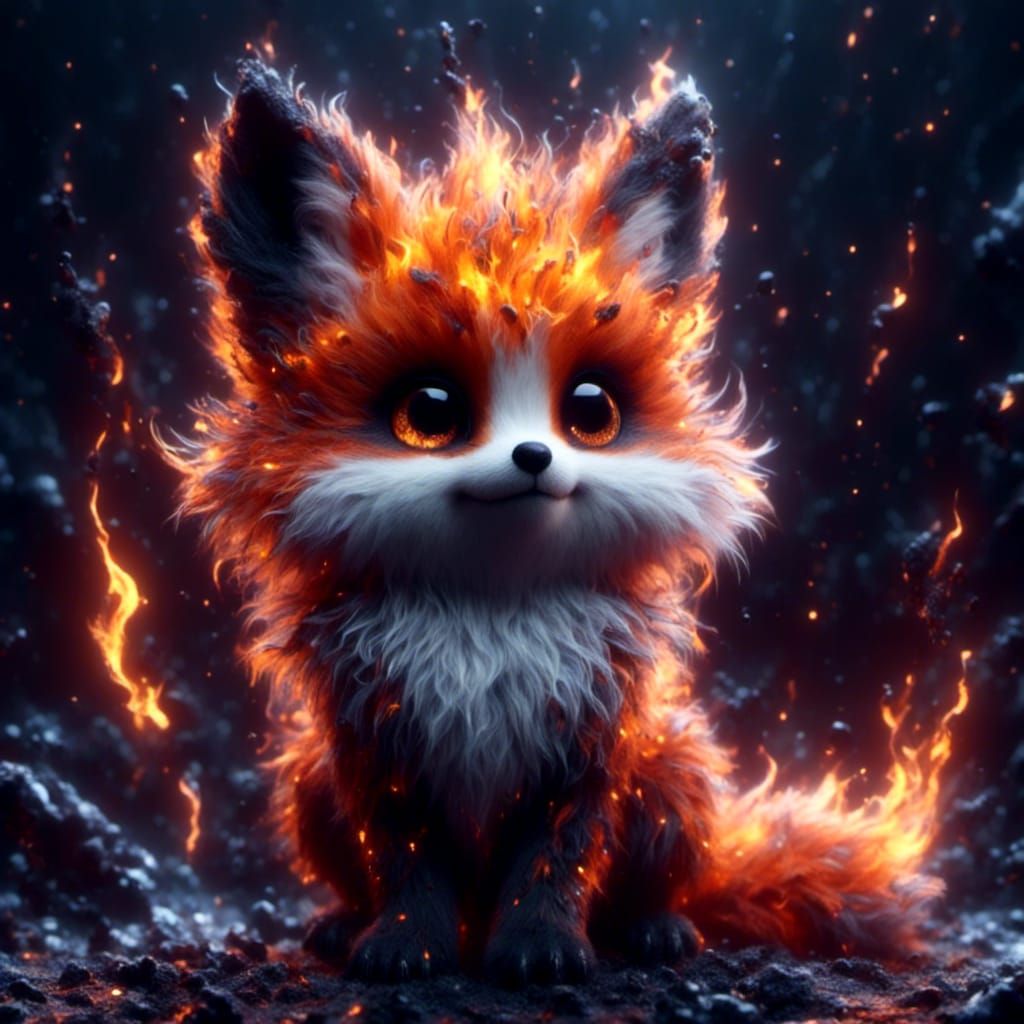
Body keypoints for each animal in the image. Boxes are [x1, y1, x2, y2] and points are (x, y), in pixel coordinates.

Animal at [165, 57, 951, 984]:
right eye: (429, 413)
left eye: (590, 411)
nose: (534, 456)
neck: (491, 614)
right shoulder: (376, 749)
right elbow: (405, 862)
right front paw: (403, 945)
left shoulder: (590, 744)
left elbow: (557, 861)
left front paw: (541, 950)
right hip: (309, 785)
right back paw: (339, 925)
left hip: (677, 773)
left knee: (667, 888)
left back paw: (656, 931)